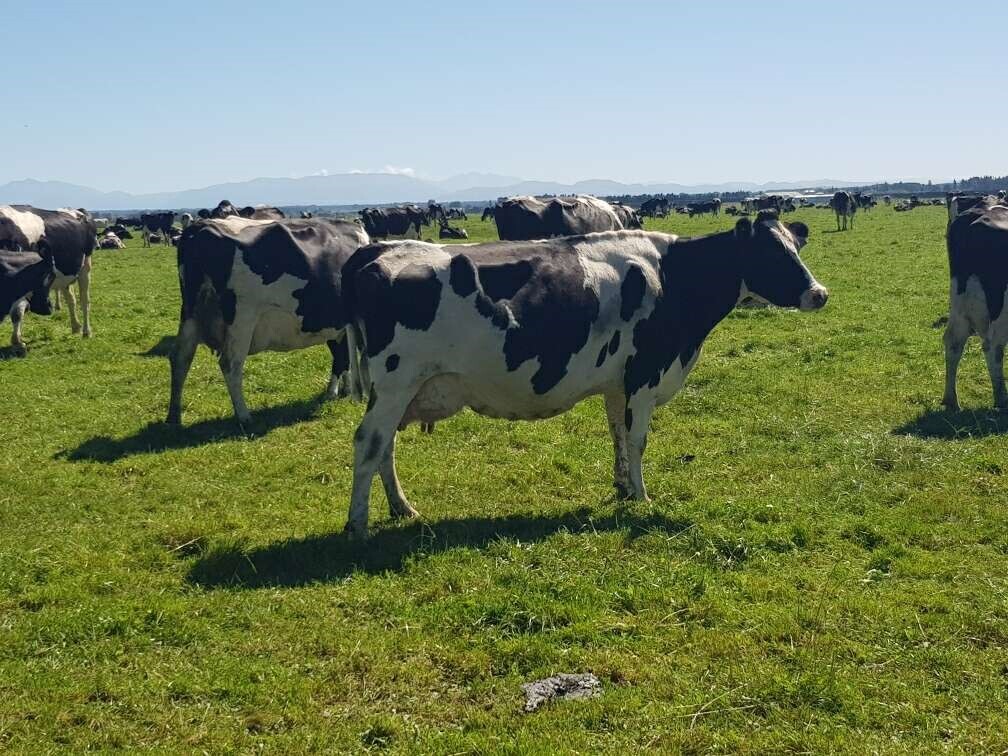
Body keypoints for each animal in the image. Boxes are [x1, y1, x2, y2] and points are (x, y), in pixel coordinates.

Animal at [167, 215, 372, 429]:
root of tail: (200, 227)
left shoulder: (335, 326)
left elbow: (342, 357)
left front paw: (341, 390)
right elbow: (343, 358)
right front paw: (337, 392)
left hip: (191, 313)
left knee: (180, 357)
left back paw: (174, 417)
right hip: (242, 318)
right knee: (230, 364)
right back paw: (244, 416)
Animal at [338, 210, 826, 536]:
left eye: (796, 246)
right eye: (772, 253)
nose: (820, 294)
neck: (674, 277)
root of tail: (375, 249)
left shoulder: (619, 381)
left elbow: (617, 433)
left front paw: (623, 486)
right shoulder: (647, 373)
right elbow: (638, 437)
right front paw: (642, 497)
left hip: (402, 389)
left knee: (385, 446)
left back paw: (402, 508)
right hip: (396, 382)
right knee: (369, 442)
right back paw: (357, 524)